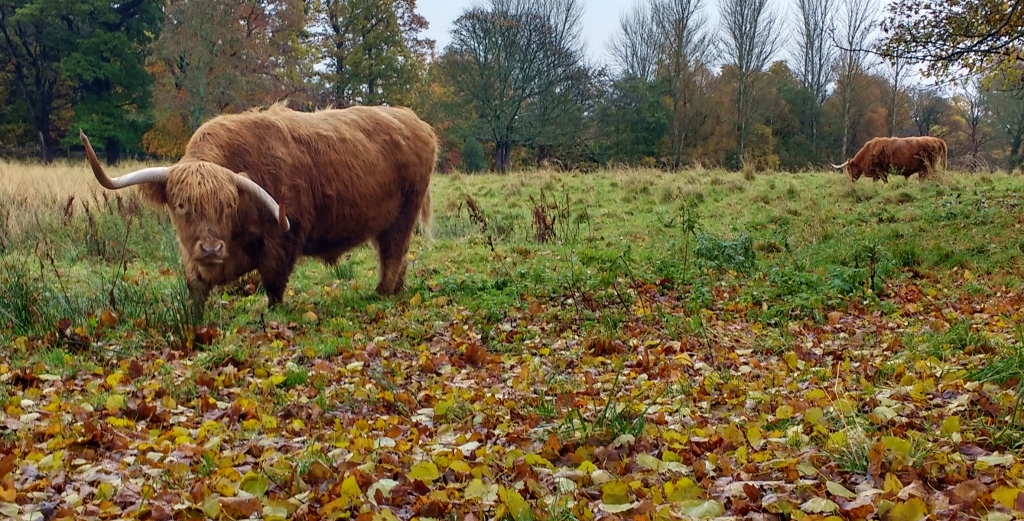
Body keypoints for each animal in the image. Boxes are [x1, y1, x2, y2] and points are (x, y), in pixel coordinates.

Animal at [80, 103, 438, 320]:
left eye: (227, 205)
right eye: (182, 205)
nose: (211, 248)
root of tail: (417, 123)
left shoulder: (282, 240)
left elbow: (274, 285)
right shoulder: (194, 255)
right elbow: (195, 287)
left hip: (405, 212)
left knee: (393, 253)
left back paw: (381, 294)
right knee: (396, 255)